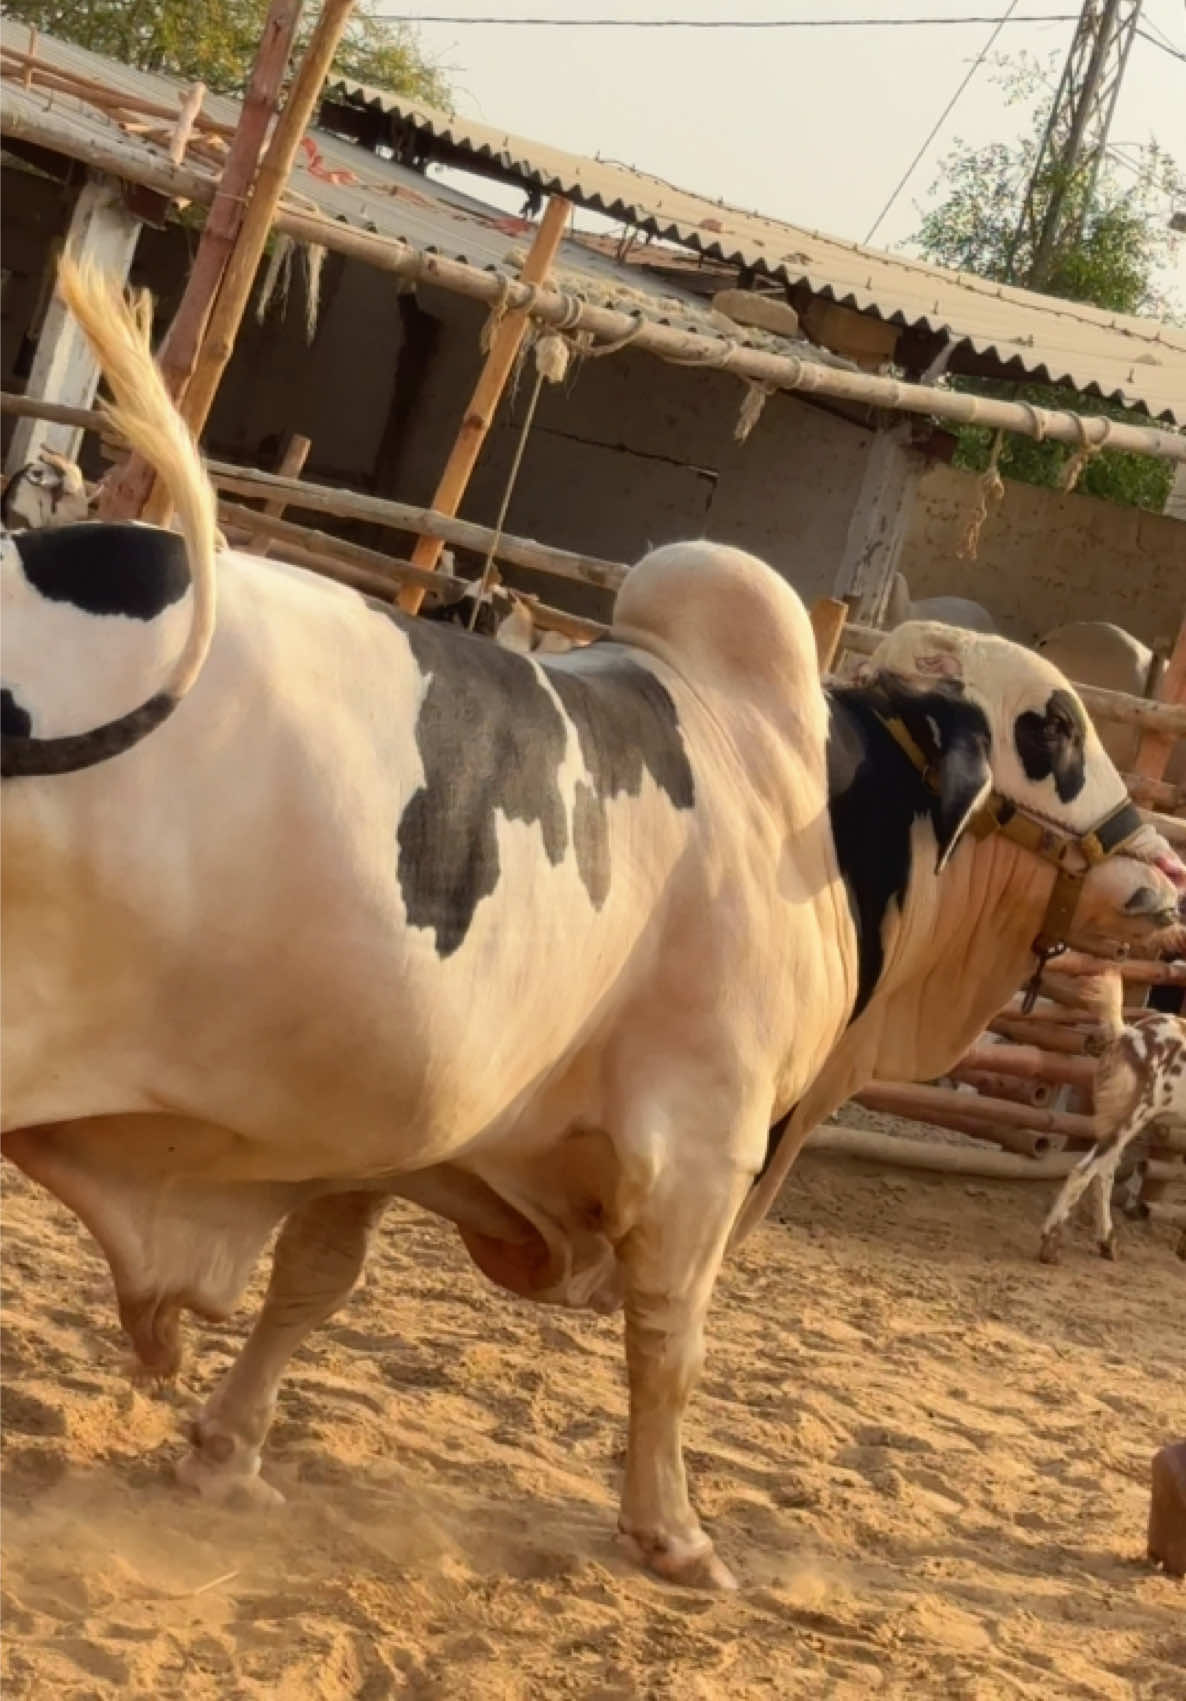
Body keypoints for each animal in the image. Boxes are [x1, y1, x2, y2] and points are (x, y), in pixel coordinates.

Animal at [3, 259, 1186, 1591]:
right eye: (1056, 729)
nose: (1161, 868)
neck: (816, 805)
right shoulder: (702, 1148)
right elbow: (670, 1347)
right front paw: (676, 1537)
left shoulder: (408, 1125)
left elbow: (312, 1280)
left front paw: (226, 1455)